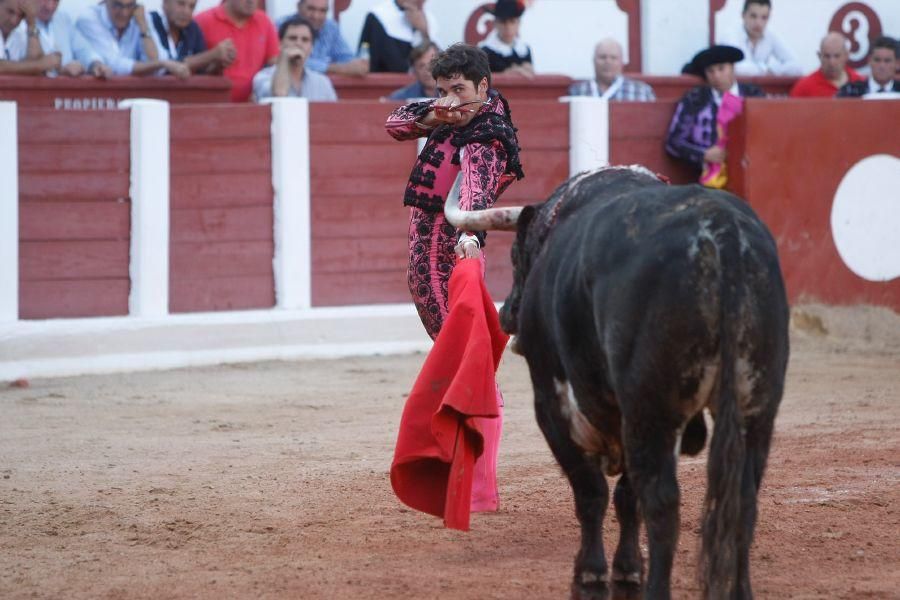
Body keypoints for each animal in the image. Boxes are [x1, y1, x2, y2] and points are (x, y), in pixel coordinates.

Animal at [446, 165, 792, 600]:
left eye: (515, 255)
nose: (508, 313)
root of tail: (722, 234)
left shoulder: (553, 404)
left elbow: (591, 493)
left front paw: (591, 574)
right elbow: (627, 497)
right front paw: (626, 569)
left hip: (651, 410)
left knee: (663, 504)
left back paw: (657, 588)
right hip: (757, 409)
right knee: (742, 501)